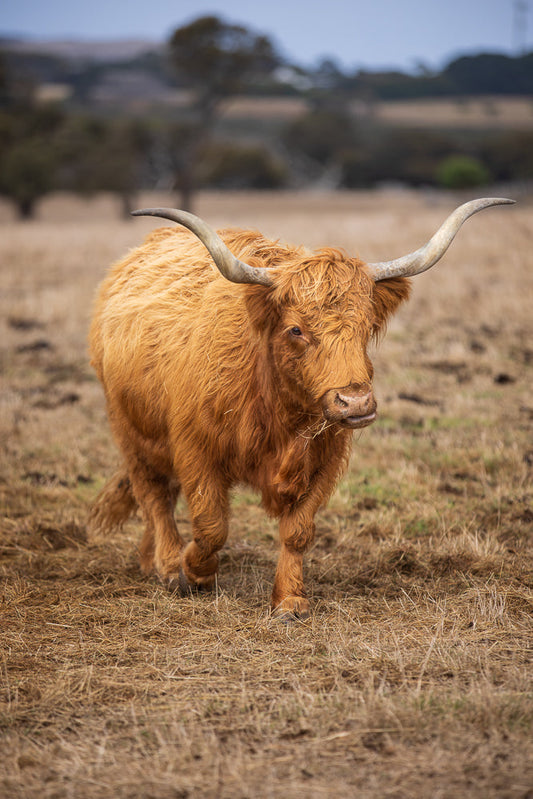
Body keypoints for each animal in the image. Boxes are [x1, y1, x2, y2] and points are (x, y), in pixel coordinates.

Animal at [89, 197, 513, 620]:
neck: (280, 413)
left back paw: (149, 558)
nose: (355, 401)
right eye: (296, 330)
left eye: (366, 326)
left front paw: (289, 600)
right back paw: (165, 562)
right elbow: (211, 525)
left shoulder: (326, 456)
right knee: (154, 496)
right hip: (130, 431)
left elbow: (298, 530)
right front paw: (191, 573)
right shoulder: (196, 448)